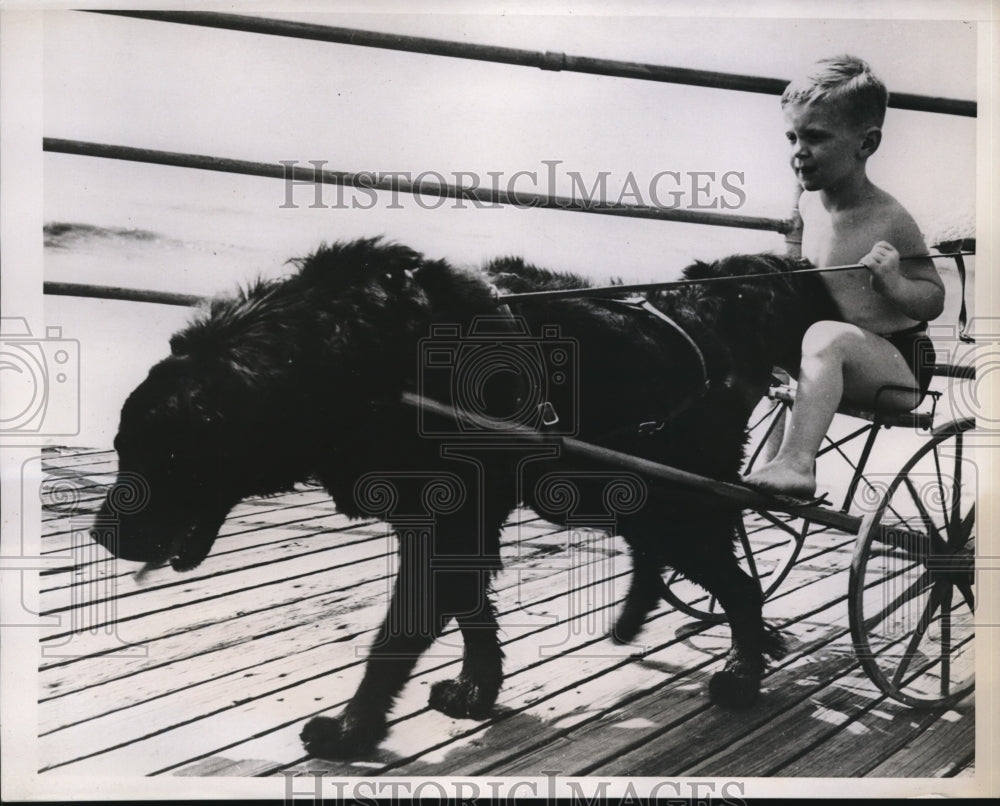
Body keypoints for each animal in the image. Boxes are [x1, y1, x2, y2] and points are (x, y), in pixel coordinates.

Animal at [92, 237, 836, 760]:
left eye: (160, 458)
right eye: (122, 449)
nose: (101, 535)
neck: (357, 359)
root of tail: (704, 307)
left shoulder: (448, 527)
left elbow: (396, 641)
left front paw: (352, 731)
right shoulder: (443, 523)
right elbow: (474, 615)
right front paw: (478, 690)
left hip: (670, 503)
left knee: (738, 584)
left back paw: (742, 673)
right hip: (617, 494)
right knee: (685, 566)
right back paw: (646, 623)